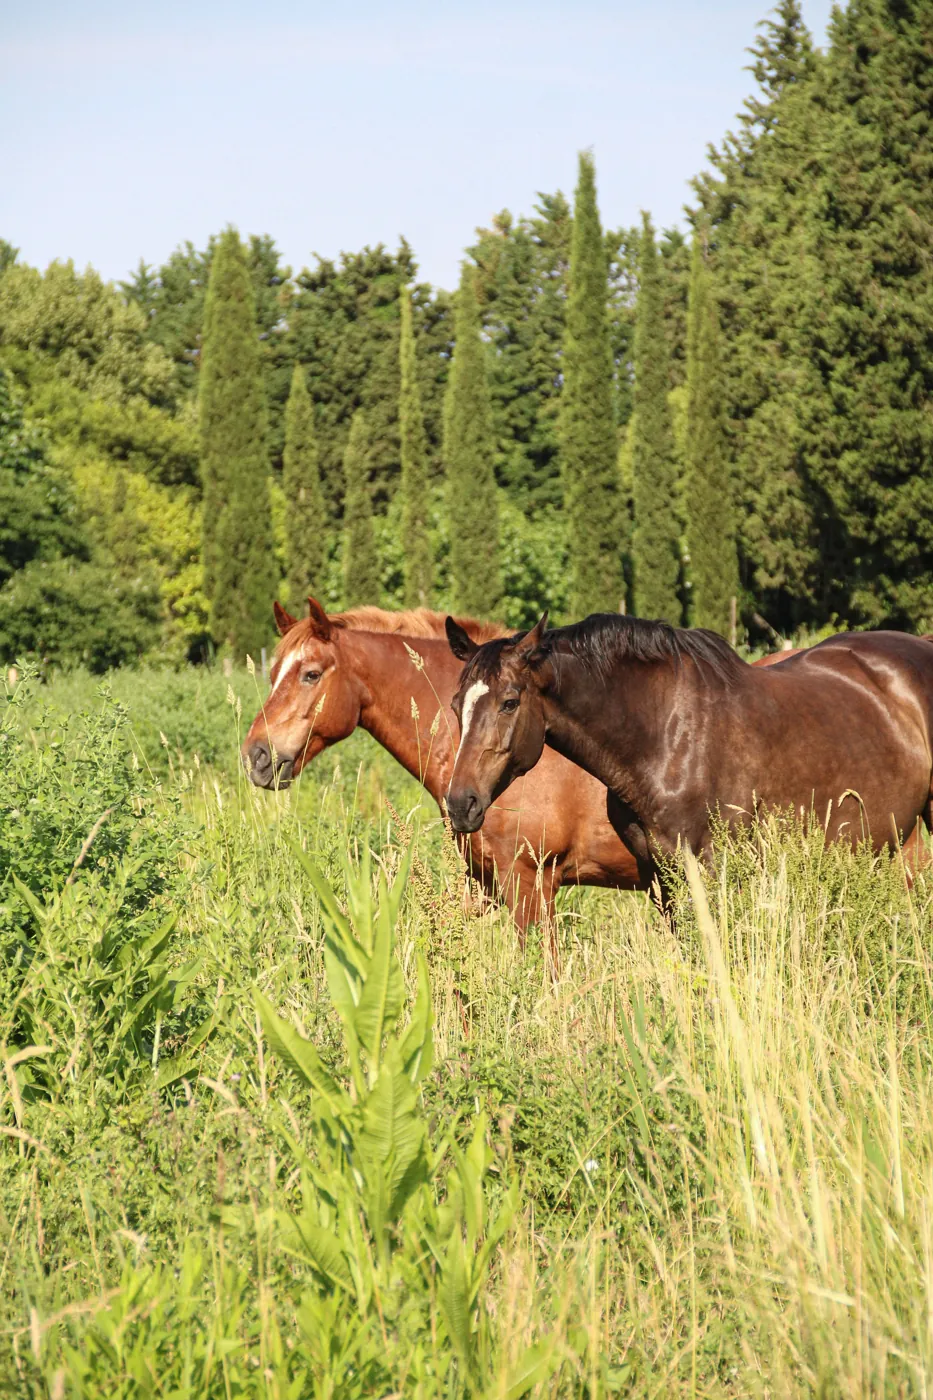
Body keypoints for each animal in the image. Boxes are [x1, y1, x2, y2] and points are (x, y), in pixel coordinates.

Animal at [444, 612, 933, 893]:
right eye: (455, 704)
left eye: (509, 702)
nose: (460, 803)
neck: (664, 738)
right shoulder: (660, 874)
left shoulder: (714, 870)